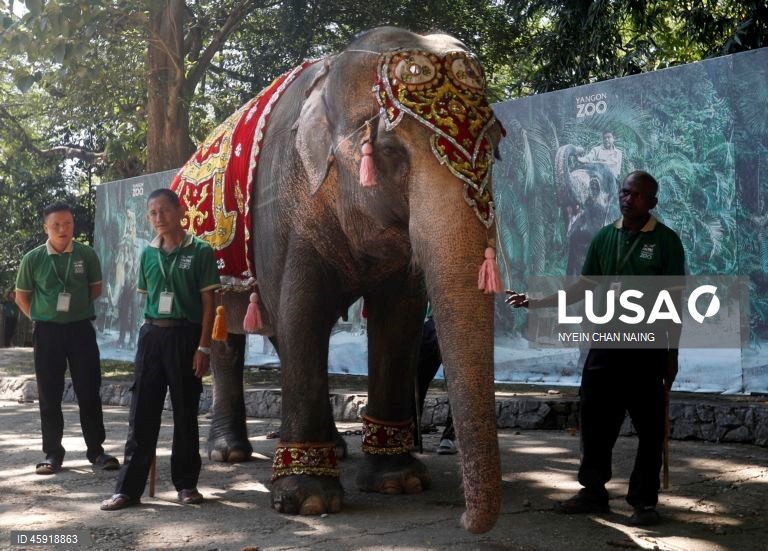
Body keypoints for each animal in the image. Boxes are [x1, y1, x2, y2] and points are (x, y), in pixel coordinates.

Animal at [174, 26, 505, 533]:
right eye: (389, 152)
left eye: (495, 149)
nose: (465, 519)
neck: (330, 75)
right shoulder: (282, 210)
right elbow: (301, 312)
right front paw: (308, 500)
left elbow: (399, 320)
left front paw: (399, 482)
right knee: (231, 335)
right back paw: (229, 454)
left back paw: (335, 448)